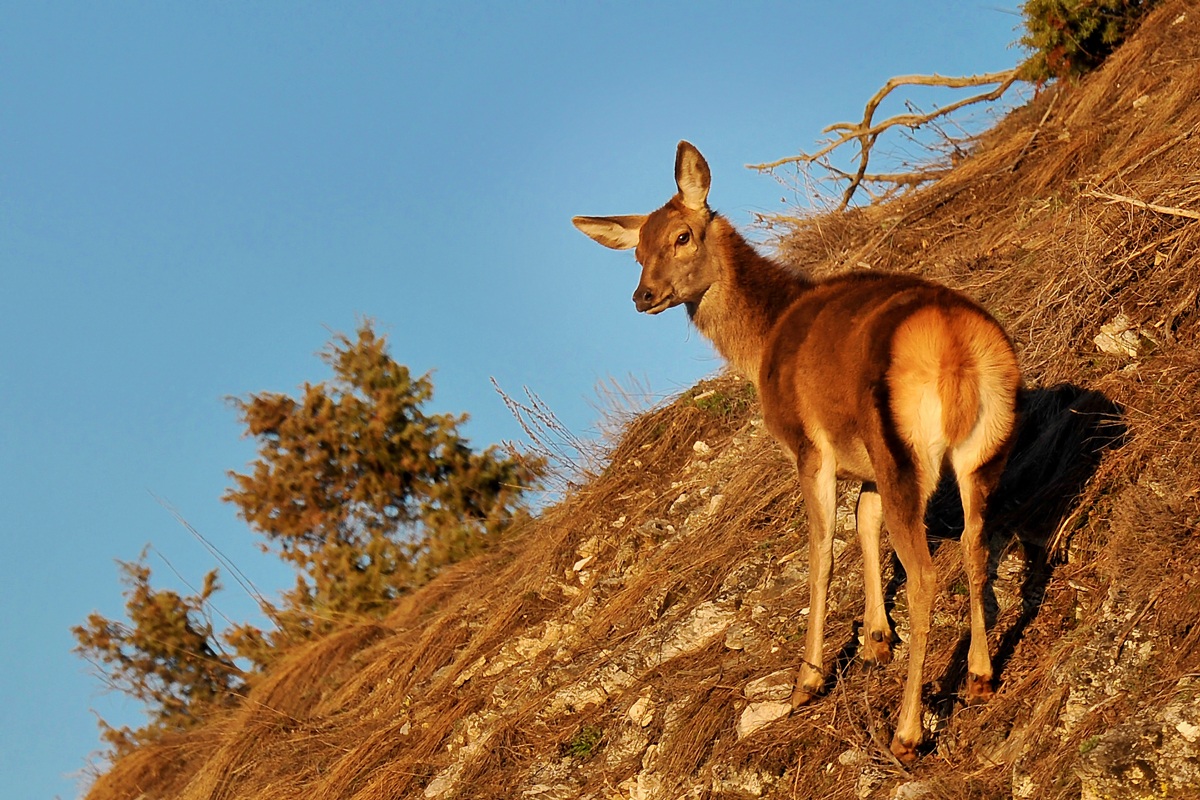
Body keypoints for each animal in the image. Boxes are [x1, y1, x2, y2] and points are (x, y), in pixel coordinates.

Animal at [573, 141, 1020, 762]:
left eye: (683, 235)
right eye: (636, 250)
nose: (643, 296)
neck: (763, 341)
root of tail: (957, 349)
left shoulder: (811, 446)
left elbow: (821, 553)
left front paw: (806, 680)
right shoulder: (865, 462)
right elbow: (862, 521)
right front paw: (876, 640)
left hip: (904, 453)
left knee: (928, 574)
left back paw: (906, 732)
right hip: (982, 451)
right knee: (978, 545)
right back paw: (979, 676)